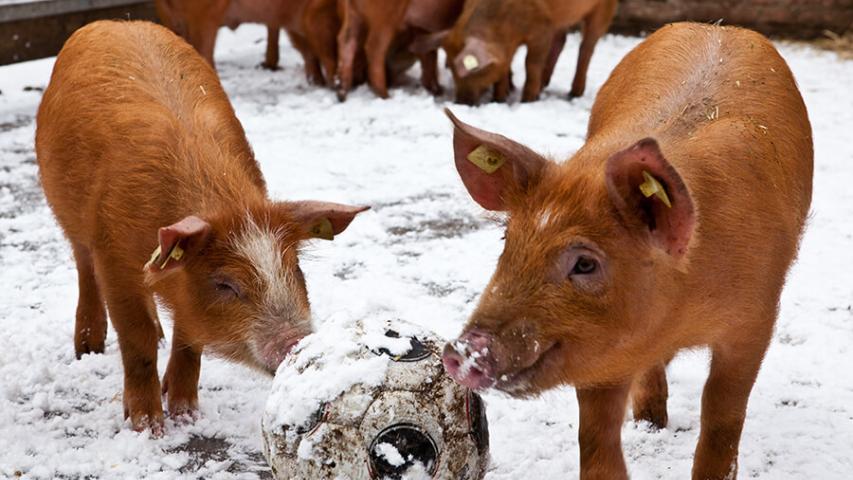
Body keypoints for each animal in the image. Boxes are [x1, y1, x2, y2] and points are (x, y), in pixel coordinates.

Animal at [35, 19, 366, 436]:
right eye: (225, 284)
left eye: (295, 269)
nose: (295, 341)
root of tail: (114, 22)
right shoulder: (113, 258)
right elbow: (137, 339)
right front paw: (149, 428)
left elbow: (190, 338)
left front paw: (186, 413)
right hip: (69, 217)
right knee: (83, 268)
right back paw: (88, 348)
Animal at [334, 0, 466, 100]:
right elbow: (430, 55)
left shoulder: (421, 30)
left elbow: (429, 56)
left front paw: (438, 90)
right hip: (385, 18)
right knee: (373, 47)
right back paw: (386, 96)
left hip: (354, 15)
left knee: (345, 39)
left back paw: (342, 93)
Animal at [412, 0, 612, 104]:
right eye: (451, 70)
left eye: (475, 70)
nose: (461, 102)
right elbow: (506, 66)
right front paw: (500, 98)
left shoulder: (542, 30)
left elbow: (531, 64)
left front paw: (527, 100)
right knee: (561, 40)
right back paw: (544, 86)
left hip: (604, 8)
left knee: (587, 46)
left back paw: (573, 94)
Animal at [440, 20, 812, 478]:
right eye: (508, 240)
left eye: (585, 263)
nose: (460, 350)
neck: (682, 307)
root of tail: (717, 27)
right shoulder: (599, 348)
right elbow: (596, 437)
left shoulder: (756, 319)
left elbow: (722, 416)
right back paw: (651, 422)